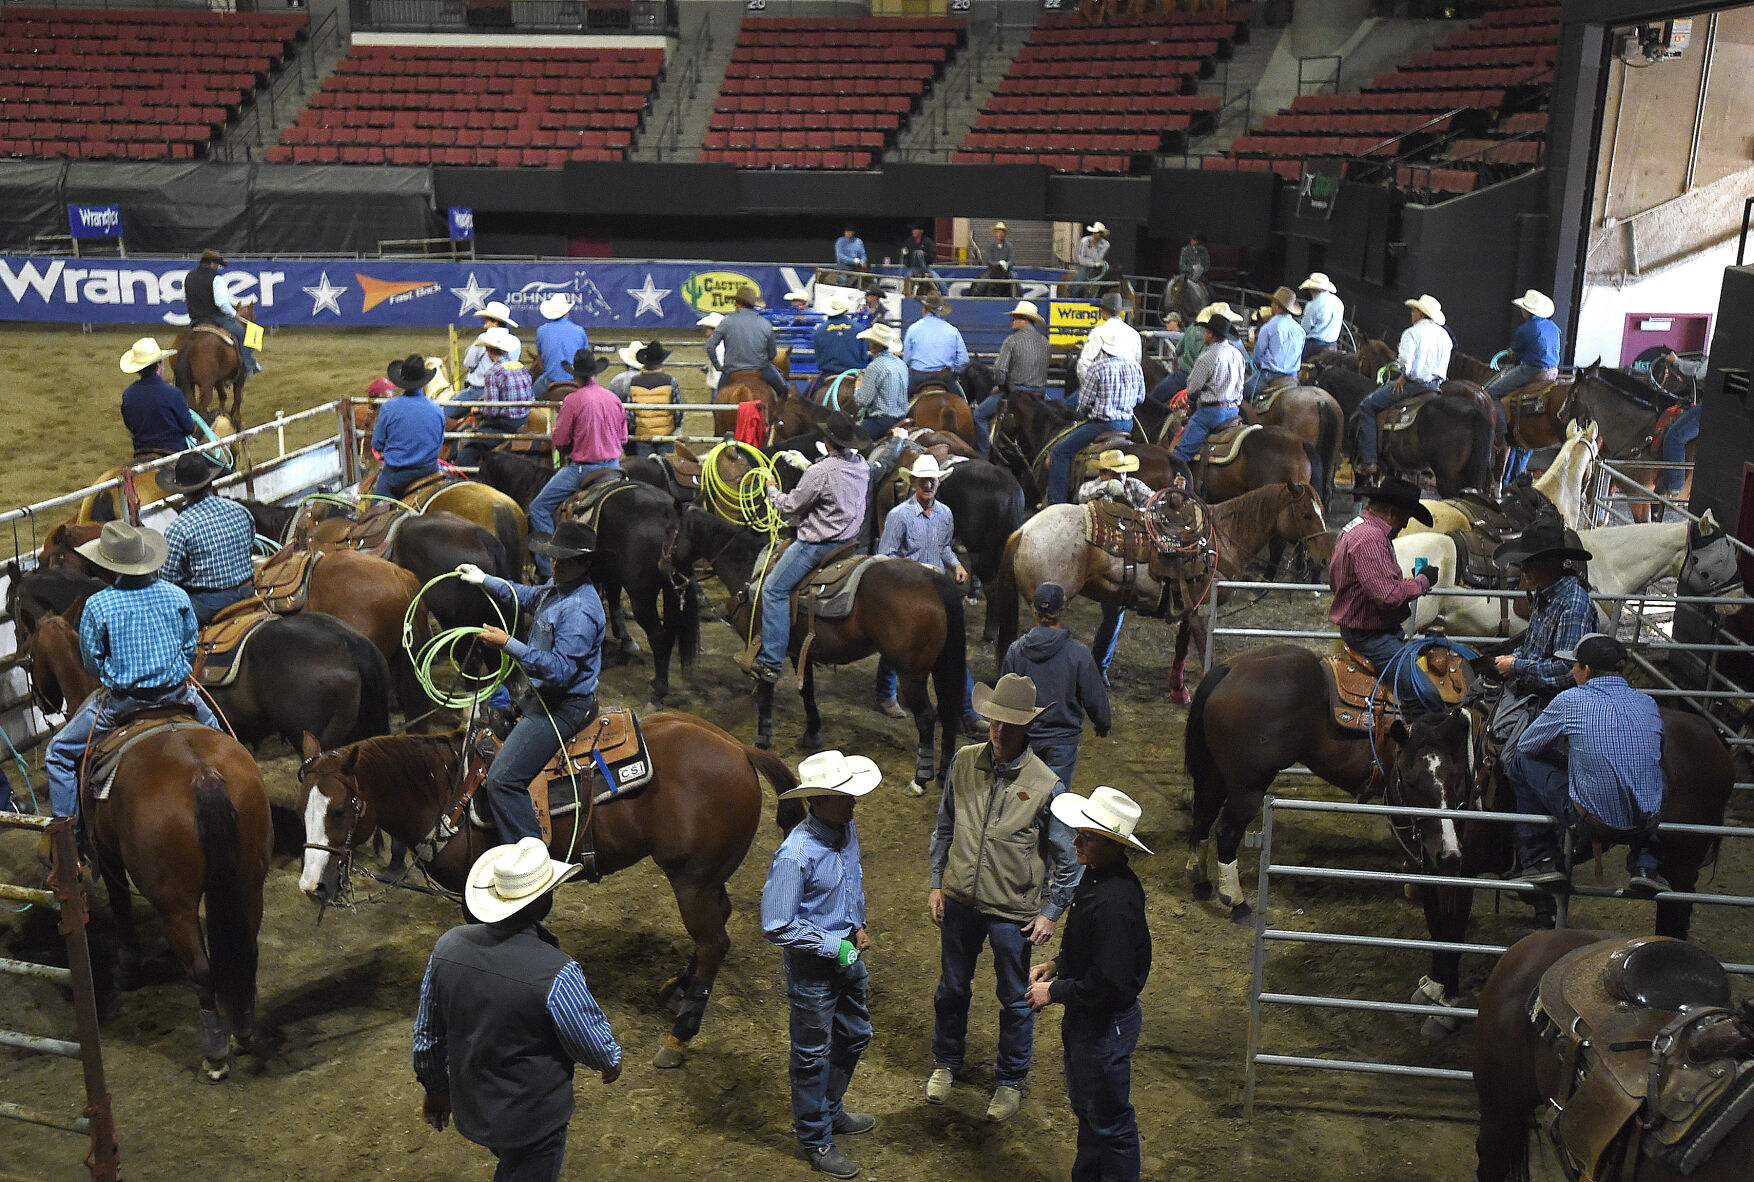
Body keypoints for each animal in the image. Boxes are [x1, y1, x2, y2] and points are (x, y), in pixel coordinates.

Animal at [296, 708, 803, 1066]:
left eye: (339, 809)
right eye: (303, 806)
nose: (311, 884)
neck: (446, 789)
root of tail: (739, 748)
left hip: (691, 879)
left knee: (714, 941)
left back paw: (679, 1036)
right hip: (707, 877)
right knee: (716, 928)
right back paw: (679, 985)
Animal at [673, 505, 975, 792]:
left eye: (673, 532)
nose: (667, 565)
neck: (750, 571)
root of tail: (934, 581)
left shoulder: (765, 646)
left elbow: (766, 689)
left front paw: (763, 739)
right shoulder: (799, 650)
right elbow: (807, 690)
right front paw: (812, 735)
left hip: (911, 672)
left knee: (926, 717)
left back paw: (920, 780)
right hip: (941, 665)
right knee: (948, 710)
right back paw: (944, 773)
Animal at [996, 477, 1333, 701]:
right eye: (1306, 514)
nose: (1325, 558)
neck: (1221, 541)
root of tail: (1024, 529)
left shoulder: (1188, 609)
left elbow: (1182, 648)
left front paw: (1178, 689)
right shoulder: (1200, 611)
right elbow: (1204, 651)